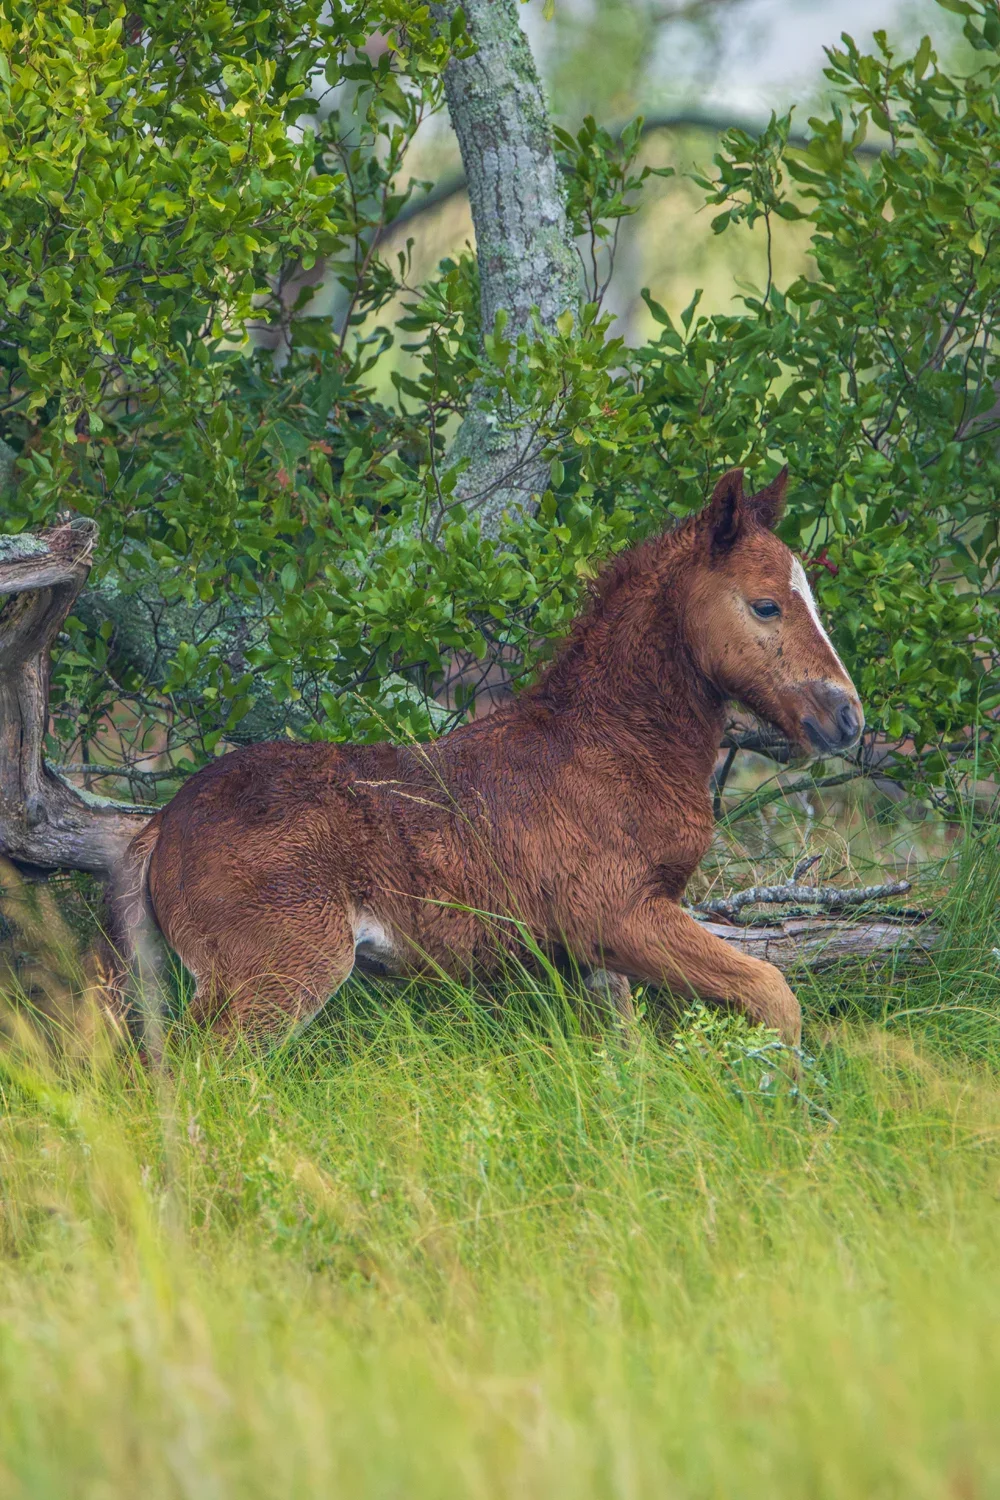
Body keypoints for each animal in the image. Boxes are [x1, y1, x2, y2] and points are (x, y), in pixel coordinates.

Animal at [115, 466, 863, 1048]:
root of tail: (160, 826)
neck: (617, 744)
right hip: (279, 970)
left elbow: (626, 1052)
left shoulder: (595, 958)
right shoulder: (618, 915)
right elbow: (773, 993)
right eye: (765, 605)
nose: (847, 718)